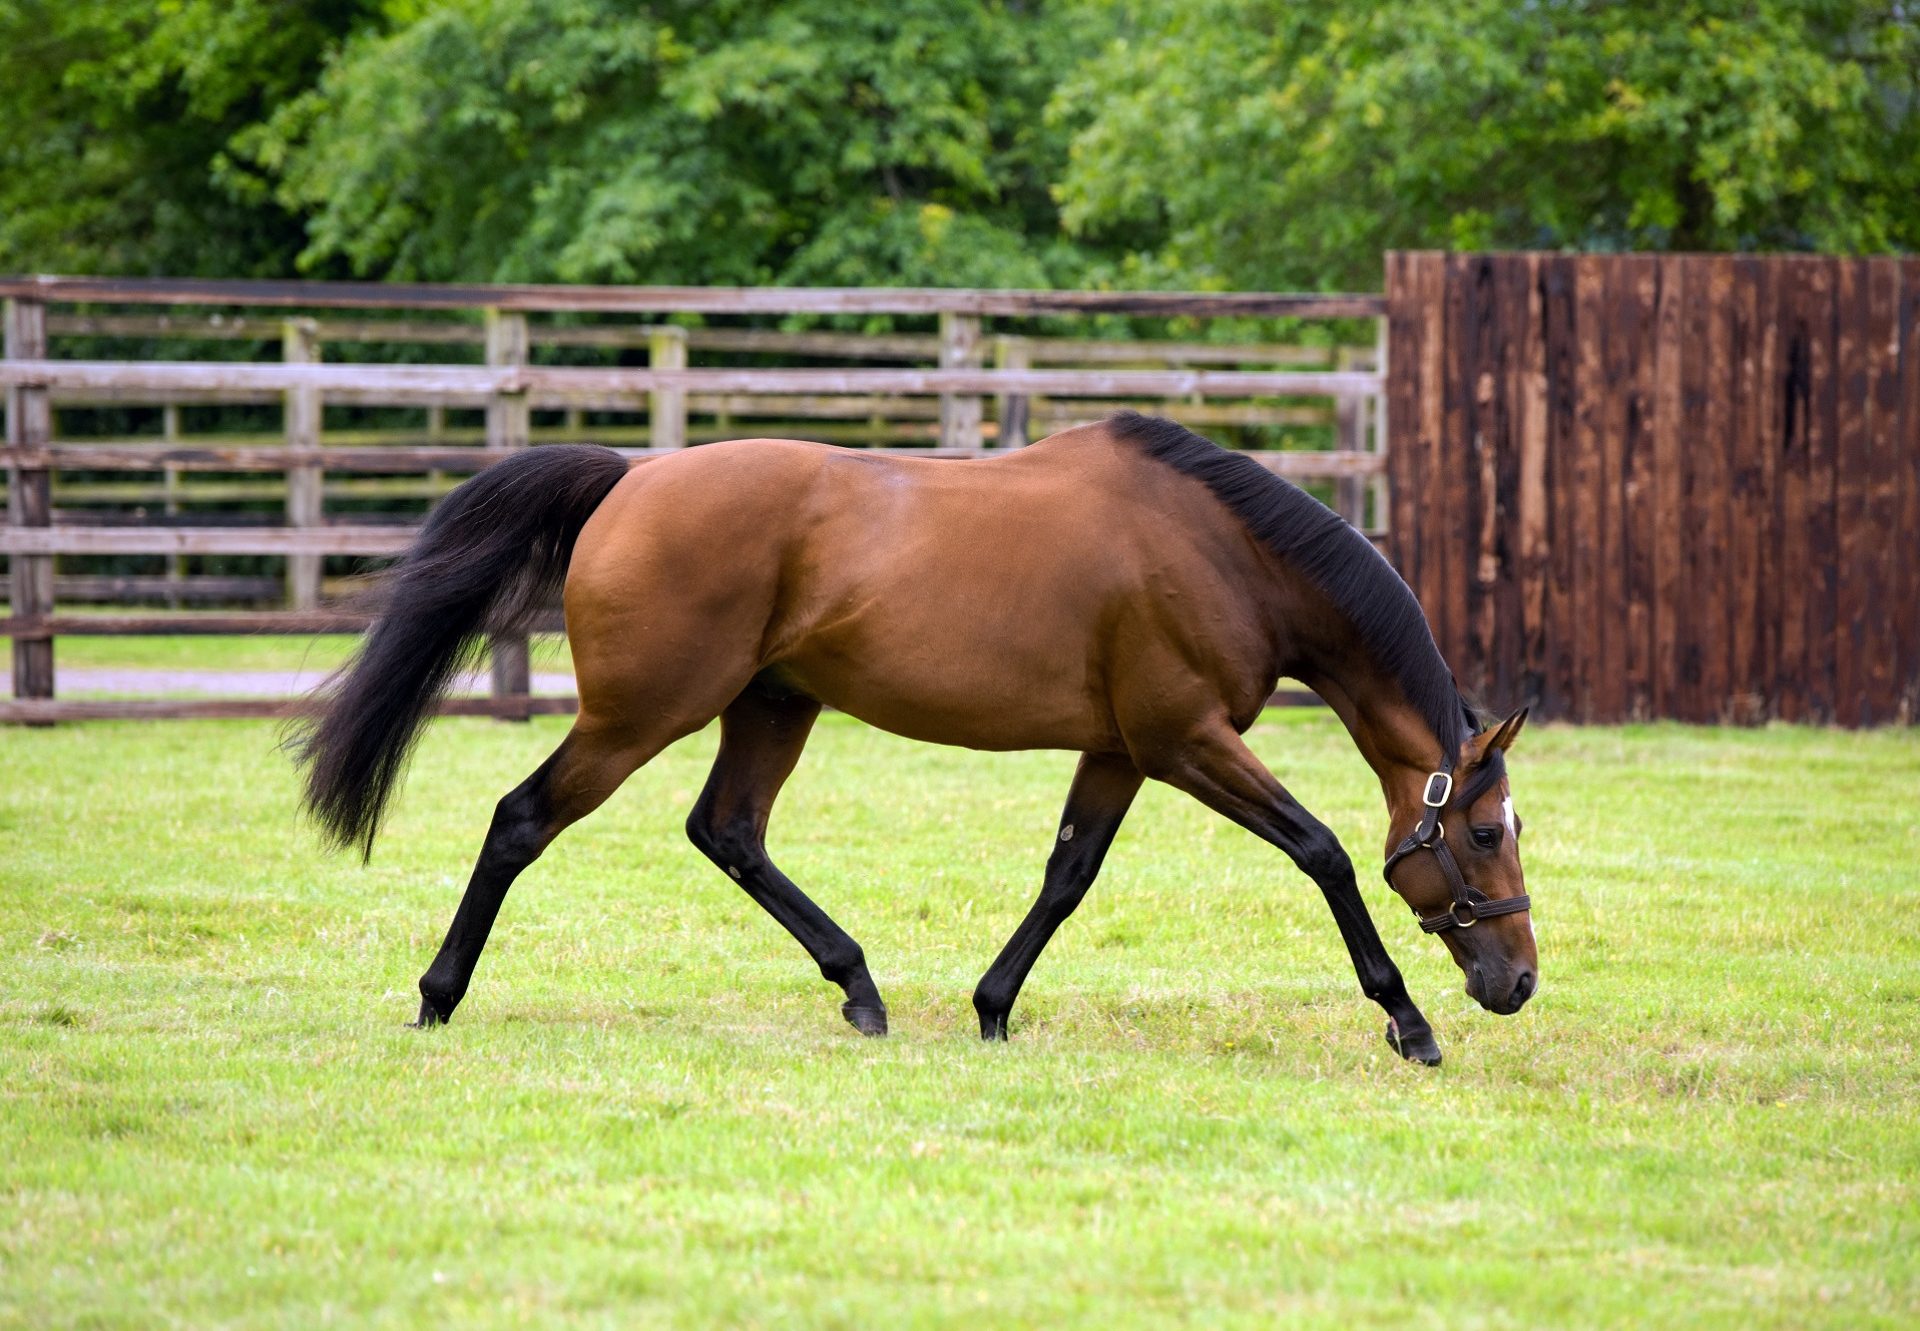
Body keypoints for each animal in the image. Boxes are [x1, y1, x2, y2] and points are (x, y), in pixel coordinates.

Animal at [295, 411, 1528, 1067]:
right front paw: (1408, 1019)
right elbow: (1322, 849)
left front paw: (992, 1007)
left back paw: (859, 986)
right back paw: (438, 993)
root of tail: (633, 476)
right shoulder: (1188, 740)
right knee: (522, 819)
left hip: (771, 706)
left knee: (728, 830)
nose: (1517, 979)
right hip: (638, 716)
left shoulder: (1123, 751)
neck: (1226, 552)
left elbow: (1068, 874)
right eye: (1480, 831)